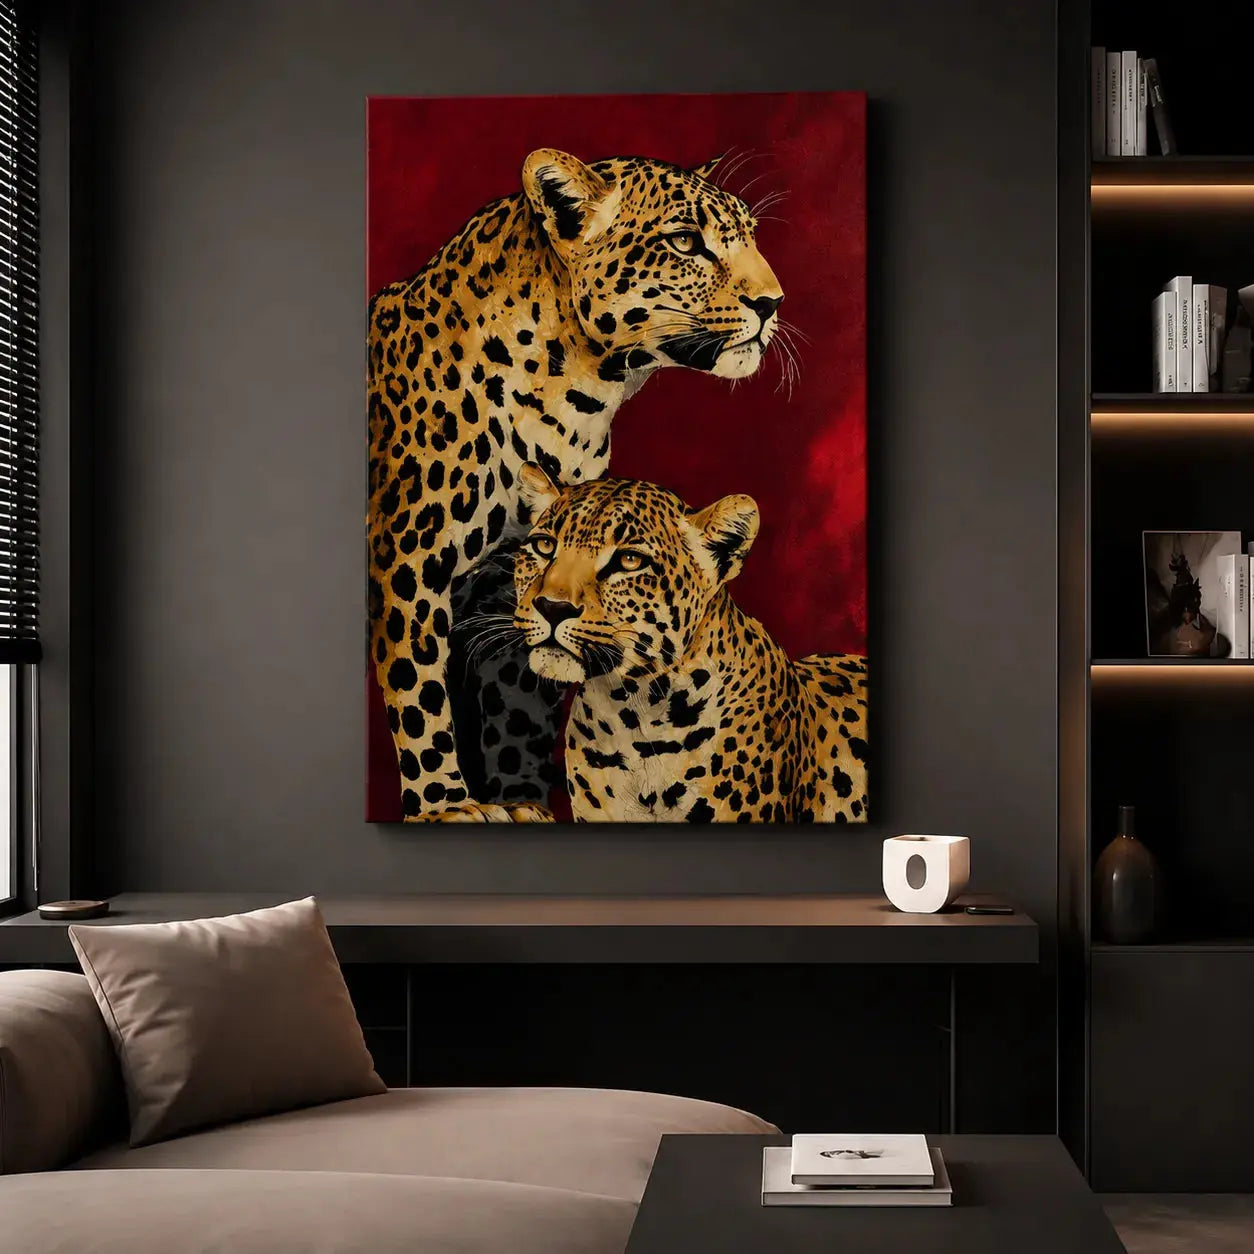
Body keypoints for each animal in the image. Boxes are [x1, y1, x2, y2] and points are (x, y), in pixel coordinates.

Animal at [368, 146, 784, 822]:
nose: (774, 302)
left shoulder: (515, 569)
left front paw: (518, 798)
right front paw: (444, 804)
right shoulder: (406, 562)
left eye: (749, 236)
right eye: (685, 241)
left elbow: (518, 688)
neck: (577, 397)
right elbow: (419, 689)